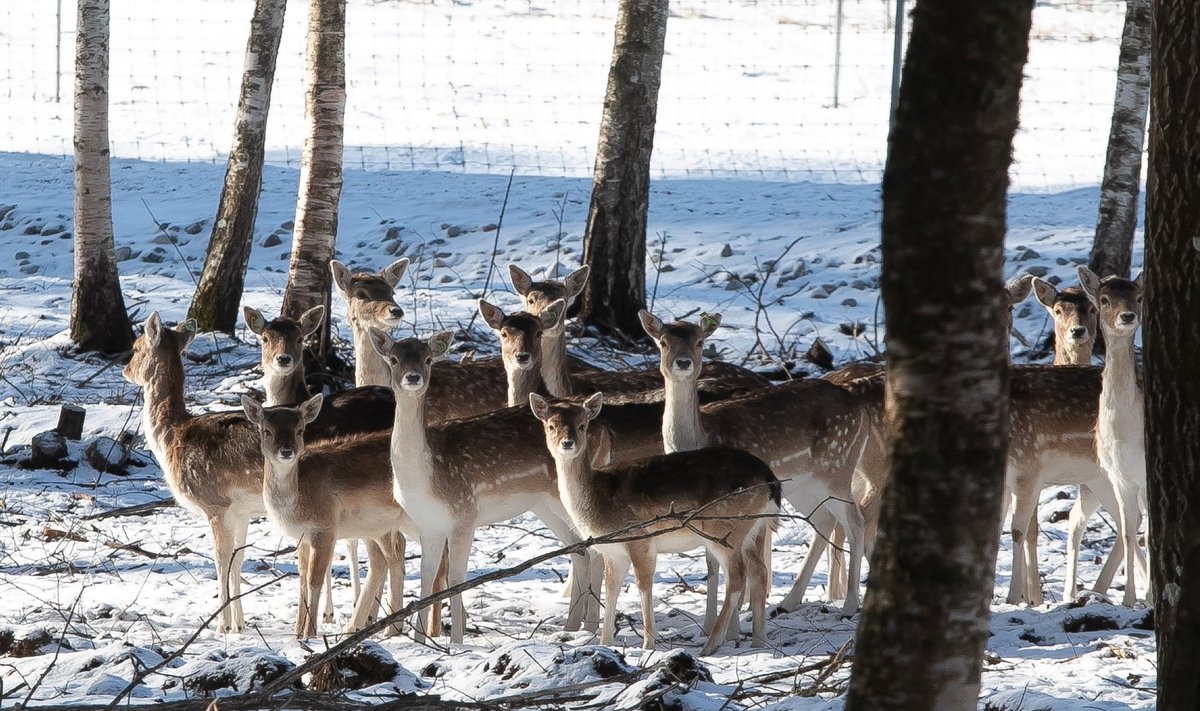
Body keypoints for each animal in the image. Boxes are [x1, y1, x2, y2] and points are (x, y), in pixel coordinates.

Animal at [238, 393, 417, 638]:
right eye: (267, 430)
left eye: (300, 430)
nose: (286, 451)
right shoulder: (302, 537)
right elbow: (302, 578)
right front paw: (296, 631)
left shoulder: (324, 527)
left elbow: (315, 580)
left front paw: (309, 633)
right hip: (377, 524)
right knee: (388, 557)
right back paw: (373, 626)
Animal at [532, 391, 777, 653]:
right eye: (550, 426)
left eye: (582, 425)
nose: (568, 443)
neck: (598, 502)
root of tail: (770, 479)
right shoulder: (613, 551)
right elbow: (611, 588)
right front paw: (605, 642)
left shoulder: (641, 539)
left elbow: (643, 583)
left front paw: (649, 642)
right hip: (753, 529)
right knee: (759, 572)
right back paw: (759, 641)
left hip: (724, 528)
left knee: (738, 576)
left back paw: (711, 644)